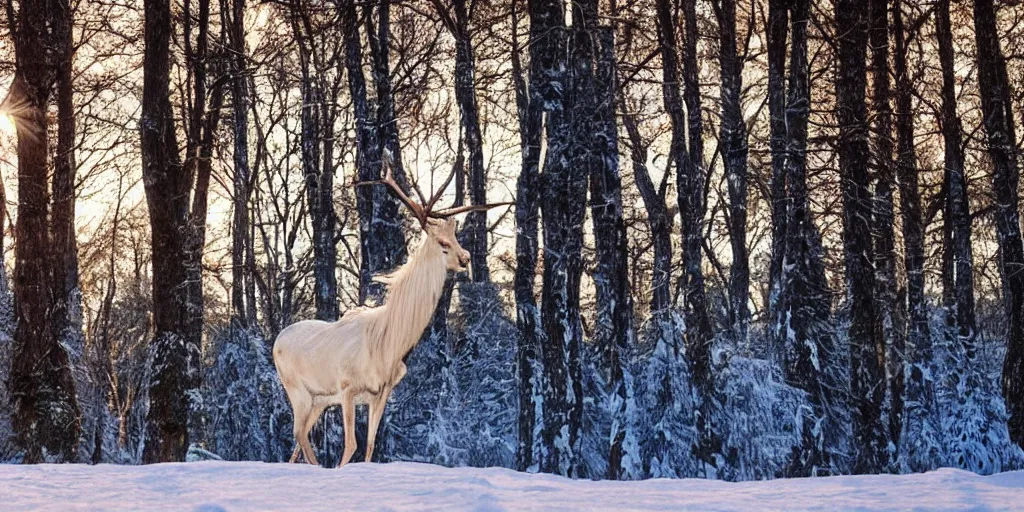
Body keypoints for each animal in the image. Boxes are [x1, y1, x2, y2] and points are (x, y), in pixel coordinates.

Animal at [272, 160, 512, 468]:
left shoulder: (381, 393)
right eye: (443, 243)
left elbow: (370, 446)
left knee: (298, 440)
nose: (466, 257)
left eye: (455, 238)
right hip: (296, 389)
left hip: (318, 399)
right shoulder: (347, 387)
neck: (389, 344)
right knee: (299, 434)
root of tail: (277, 340)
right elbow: (350, 445)